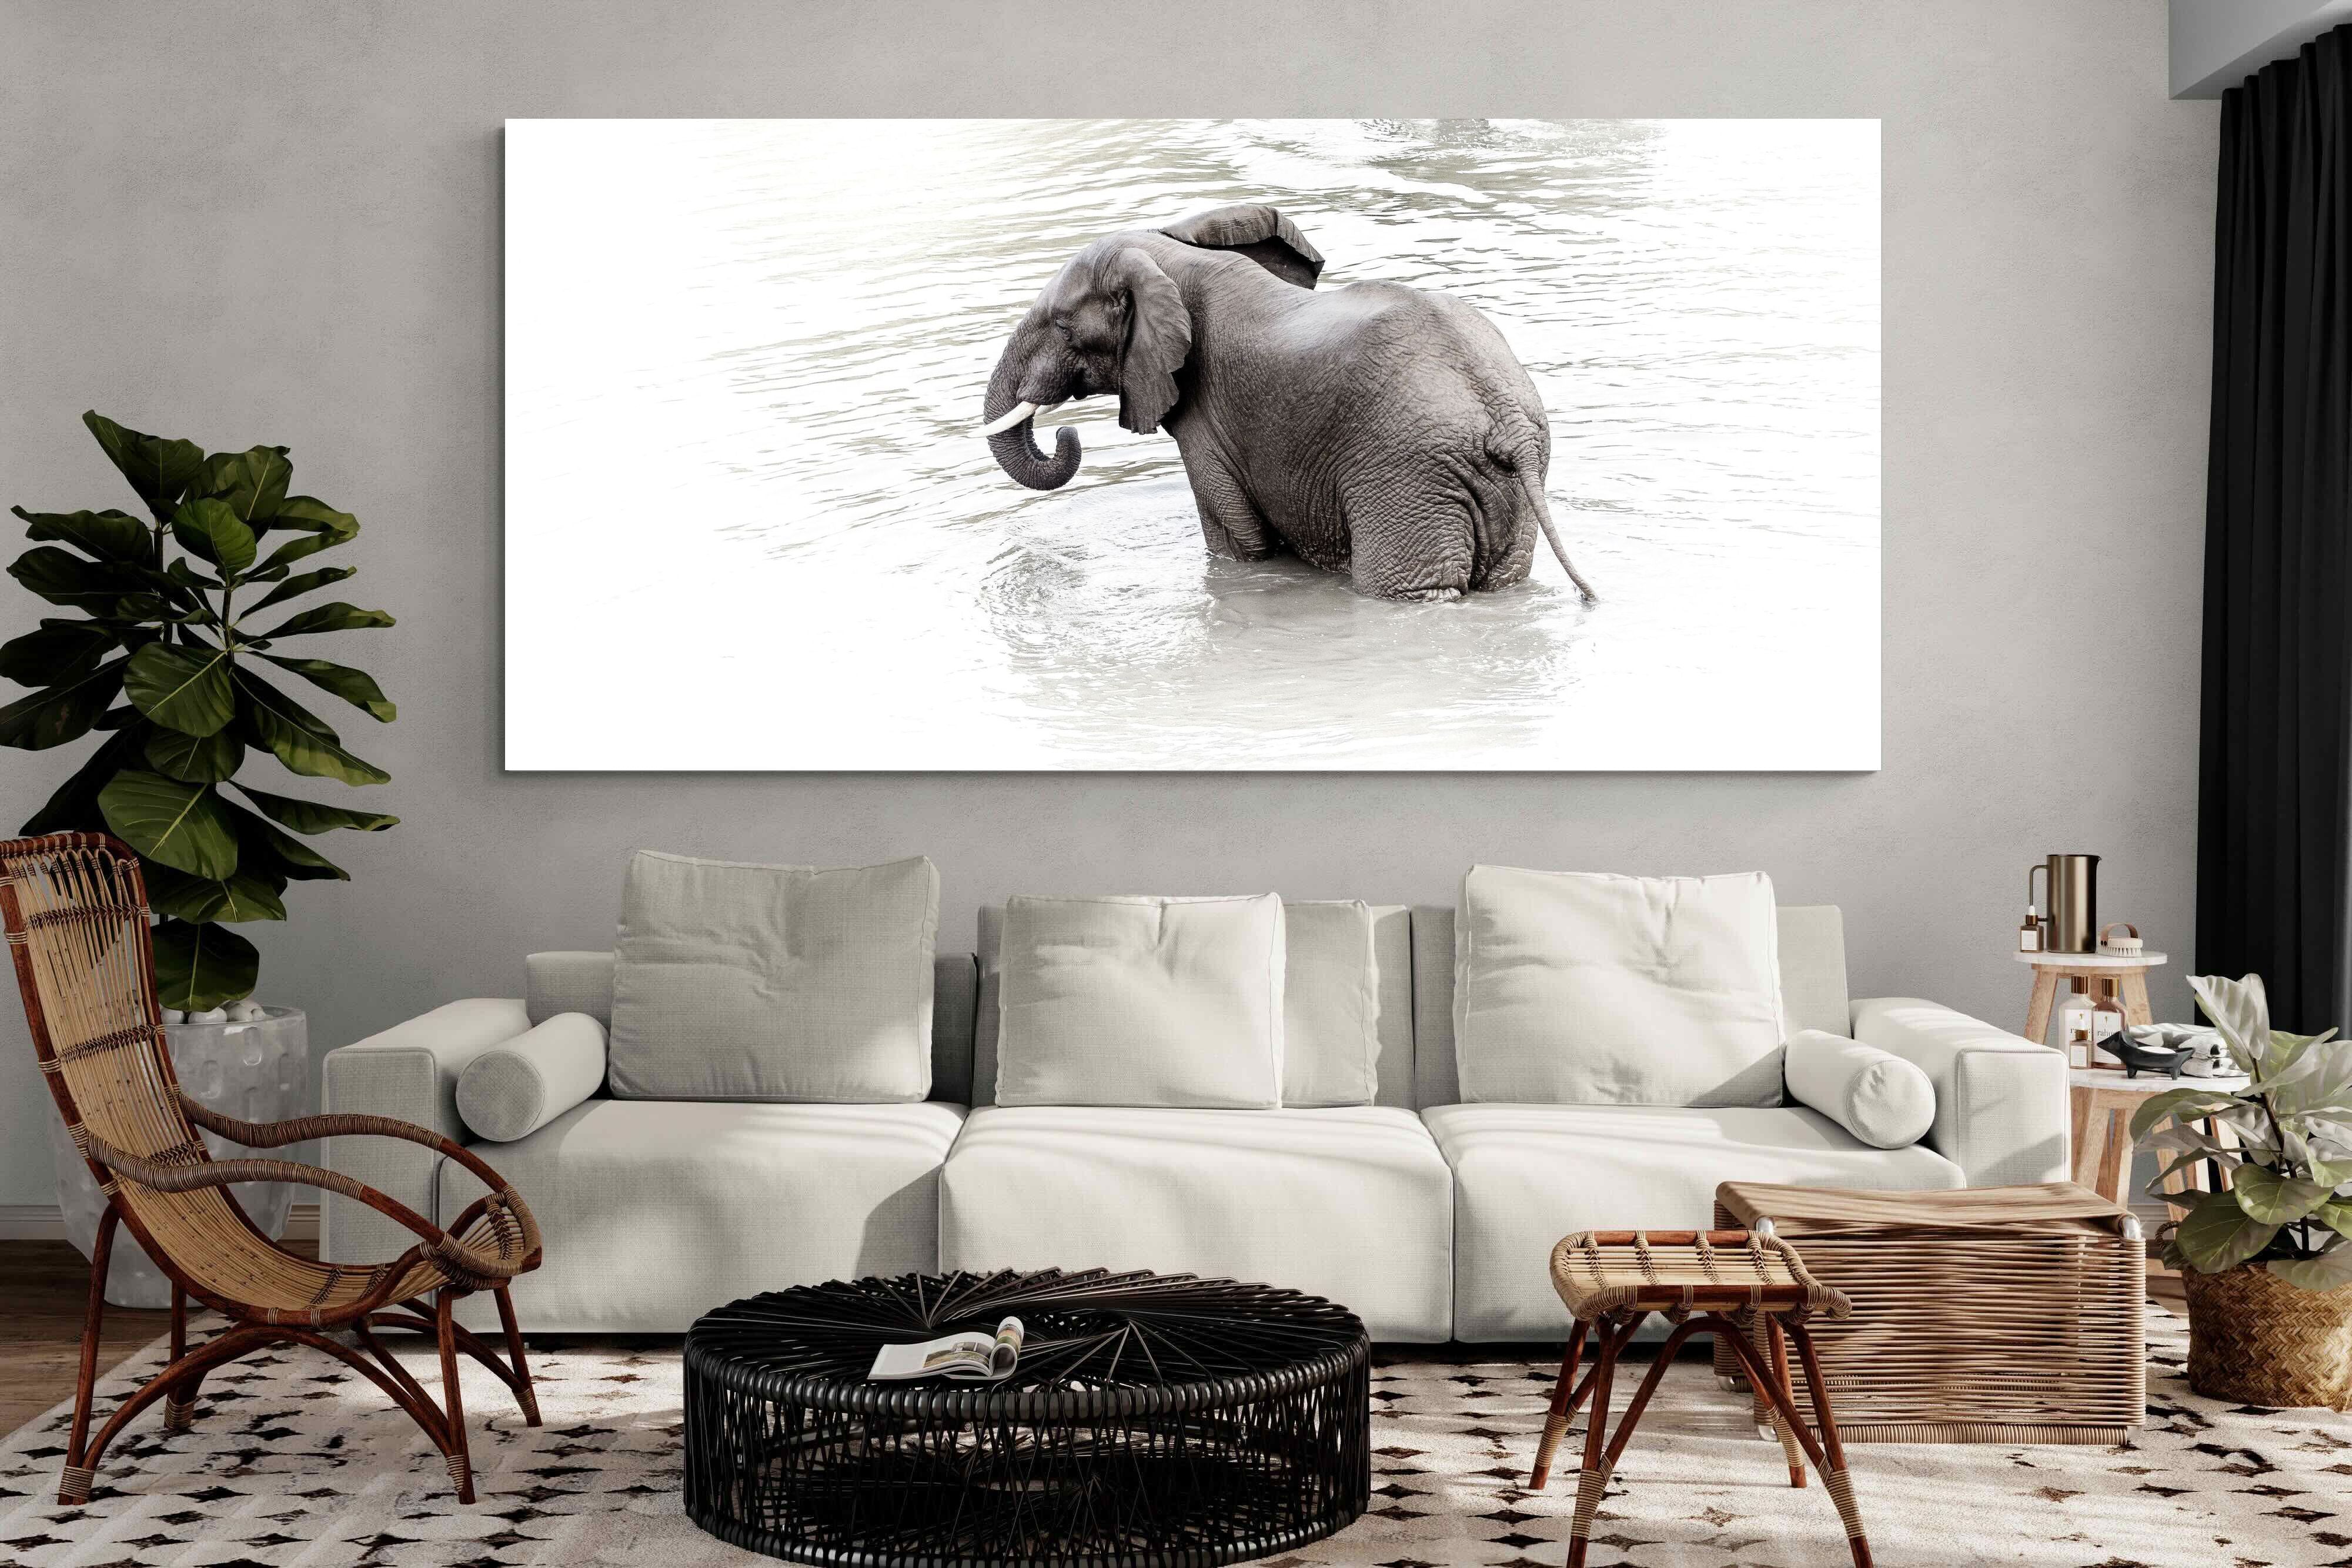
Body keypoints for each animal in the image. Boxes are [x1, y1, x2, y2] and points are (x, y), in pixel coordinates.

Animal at [980, 203, 1596, 603]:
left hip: (1407, 479)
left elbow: (1235, 542)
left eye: (1064, 328)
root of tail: (1504, 417)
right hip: (1507, 487)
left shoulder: (1207, 422)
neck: (1174, 258)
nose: (1064, 433)